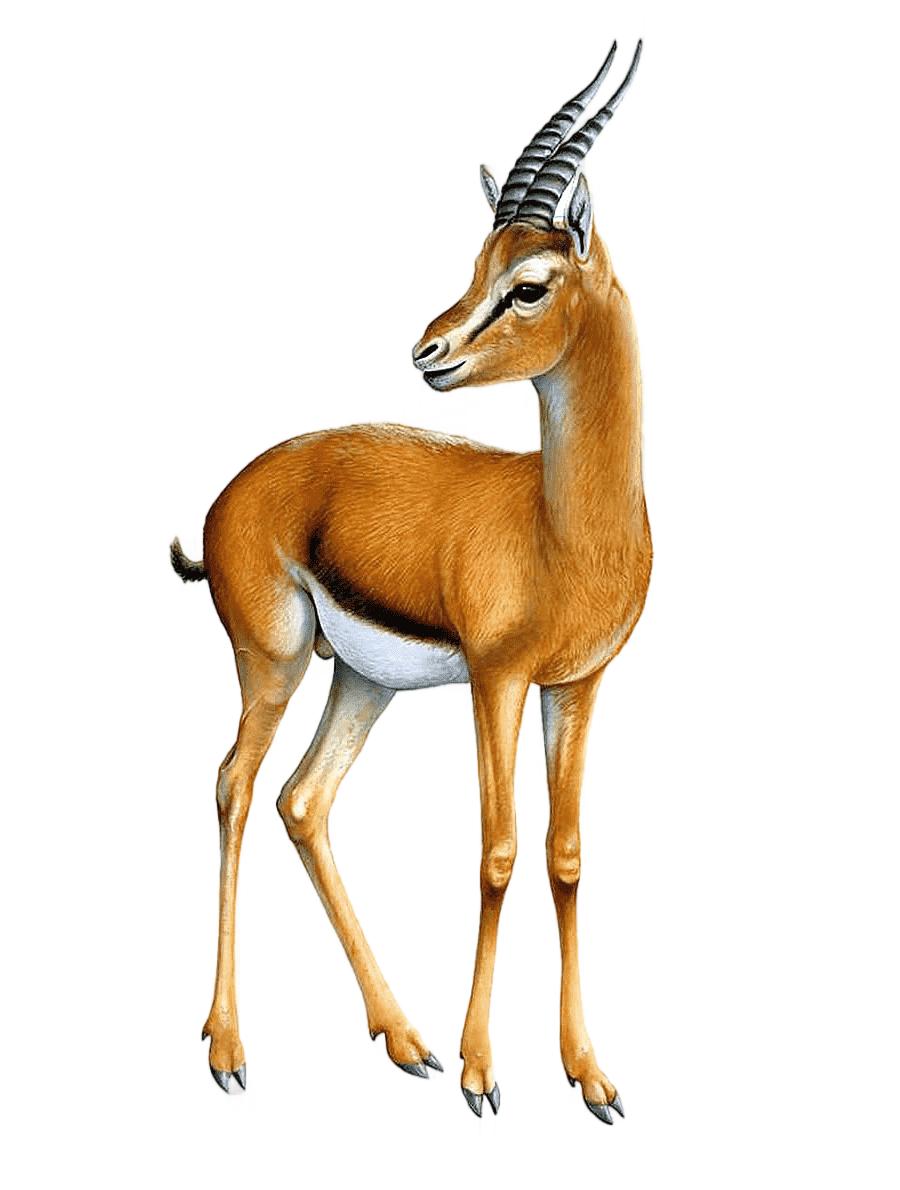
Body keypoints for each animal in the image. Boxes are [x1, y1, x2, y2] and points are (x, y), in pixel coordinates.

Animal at [170, 40, 650, 1126]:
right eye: (476, 266)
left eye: (529, 281)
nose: (428, 353)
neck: (560, 531)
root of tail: (243, 482)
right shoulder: (497, 681)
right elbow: (497, 851)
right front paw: (484, 1076)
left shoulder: (577, 686)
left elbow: (566, 859)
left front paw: (592, 1079)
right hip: (273, 664)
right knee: (230, 790)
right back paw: (232, 1055)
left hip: (362, 682)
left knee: (303, 803)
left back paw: (403, 1042)